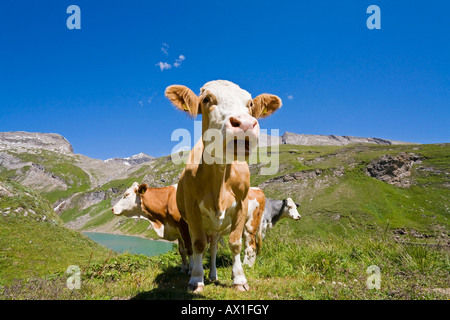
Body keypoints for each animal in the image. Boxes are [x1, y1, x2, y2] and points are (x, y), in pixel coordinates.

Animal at [164, 80, 282, 292]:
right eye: (206, 99)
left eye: (250, 103)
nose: (245, 124)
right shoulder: (192, 211)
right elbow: (198, 244)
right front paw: (196, 279)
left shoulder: (242, 206)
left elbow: (234, 243)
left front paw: (240, 280)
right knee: (198, 247)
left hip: (220, 226)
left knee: (214, 248)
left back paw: (213, 274)